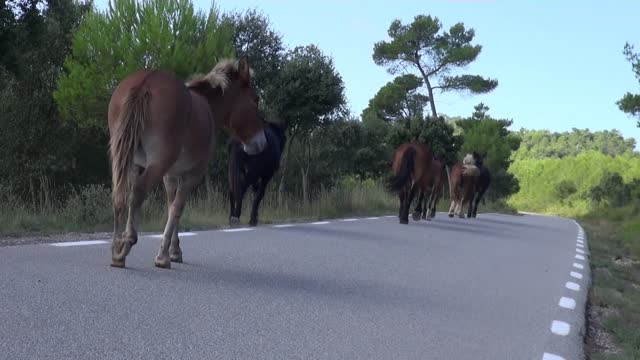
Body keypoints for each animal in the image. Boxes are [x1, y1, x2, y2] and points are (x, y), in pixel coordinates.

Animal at [107, 57, 262, 270]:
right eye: (255, 100)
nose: (261, 142)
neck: (208, 108)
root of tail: (145, 82)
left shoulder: (170, 174)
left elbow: (172, 207)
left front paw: (174, 251)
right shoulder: (192, 174)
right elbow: (177, 208)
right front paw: (164, 256)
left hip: (126, 158)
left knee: (120, 195)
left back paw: (116, 248)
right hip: (157, 163)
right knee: (137, 192)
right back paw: (126, 245)